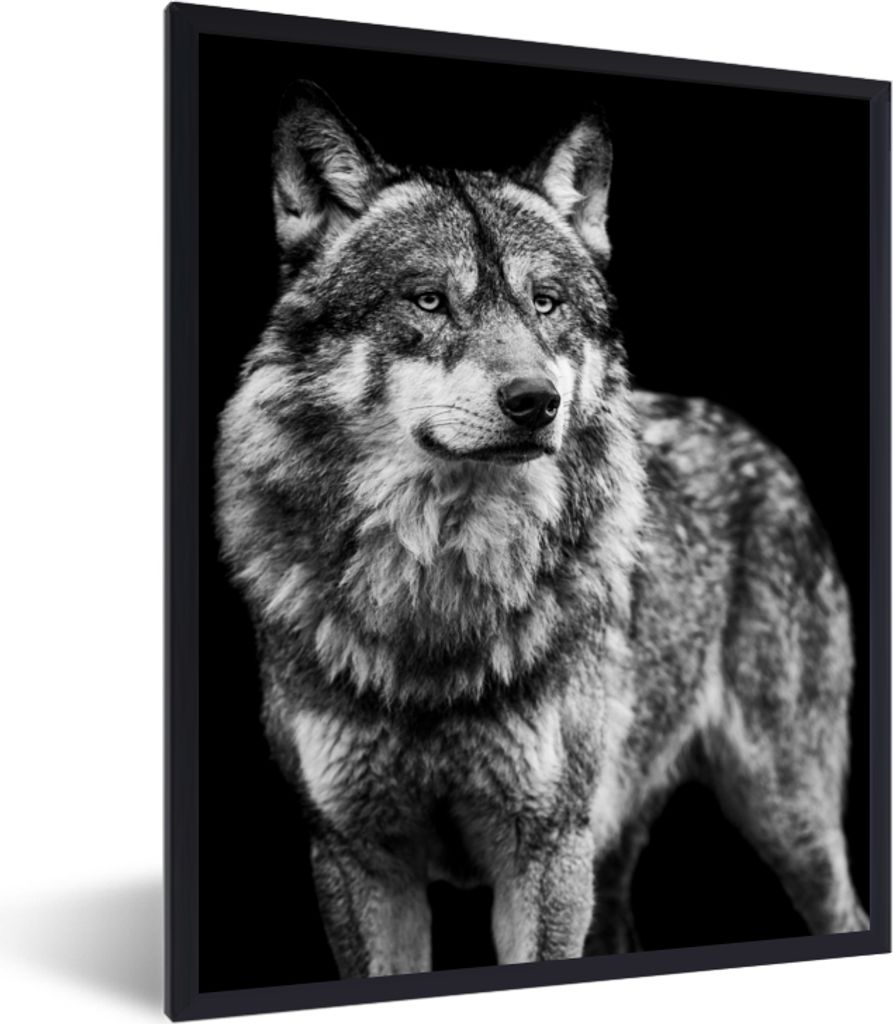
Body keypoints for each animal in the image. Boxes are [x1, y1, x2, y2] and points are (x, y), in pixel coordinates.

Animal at [216, 82, 867, 977]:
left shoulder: (544, 850)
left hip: (783, 813)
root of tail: (754, 440)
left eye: (546, 304)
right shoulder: (356, 860)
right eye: (429, 299)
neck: (439, 592)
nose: (536, 402)